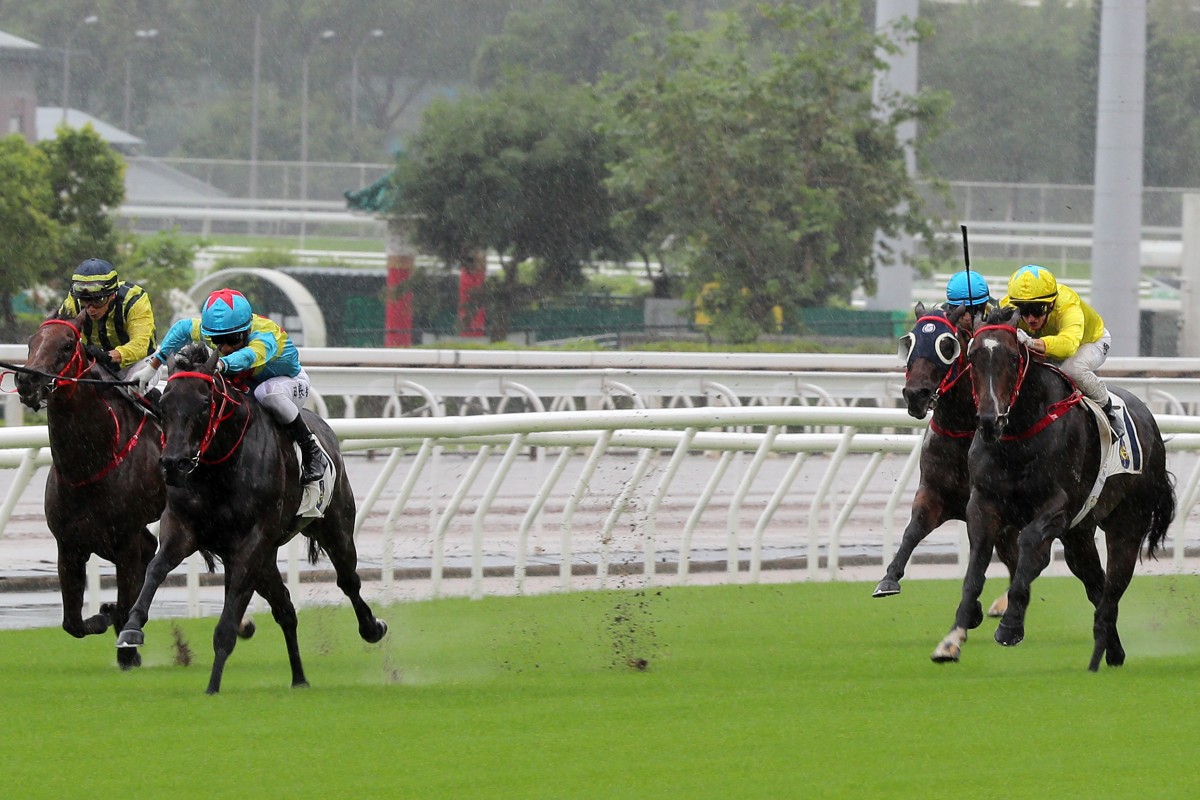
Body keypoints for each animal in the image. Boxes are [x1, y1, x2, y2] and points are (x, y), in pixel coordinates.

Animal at [14, 311, 163, 671]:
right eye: (31, 342)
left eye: (68, 345)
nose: (27, 380)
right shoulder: (68, 544)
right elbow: (72, 622)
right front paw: (103, 616)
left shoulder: (124, 541)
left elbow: (125, 599)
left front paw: (127, 651)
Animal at [112, 340, 384, 690]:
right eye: (164, 402)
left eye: (204, 403)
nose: (173, 464)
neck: (220, 466)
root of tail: (325, 429)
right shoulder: (183, 527)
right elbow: (156, 568)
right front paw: (132, 628)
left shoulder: (252, 541)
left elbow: (228, 621)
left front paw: (213, 686)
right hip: (266, 559)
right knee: (285, 608)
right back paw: (299, 678)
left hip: (333, 527)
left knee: (348, 580)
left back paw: (372, 628)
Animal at [873, 303, 1022, 618]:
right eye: (910, 342)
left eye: (946, 346)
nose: (915, 395)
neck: (961, 432)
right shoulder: (934, 492)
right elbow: (912, 530)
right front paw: (889, 578)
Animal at [931, 309, 1176, 671]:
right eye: (972, 357)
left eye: (1013, 357)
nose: (989, 420)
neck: (1018, 436)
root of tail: (1150, 420)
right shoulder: (984, 504)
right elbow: (975, 568)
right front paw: (952, 639)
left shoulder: (1057, 508)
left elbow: (1031, 548)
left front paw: (1010, 625)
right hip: (1079, 536)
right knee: (1097, 585)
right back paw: (1113, 651)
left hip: (1127, 525)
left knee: (1112, 589)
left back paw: (1098, 657)